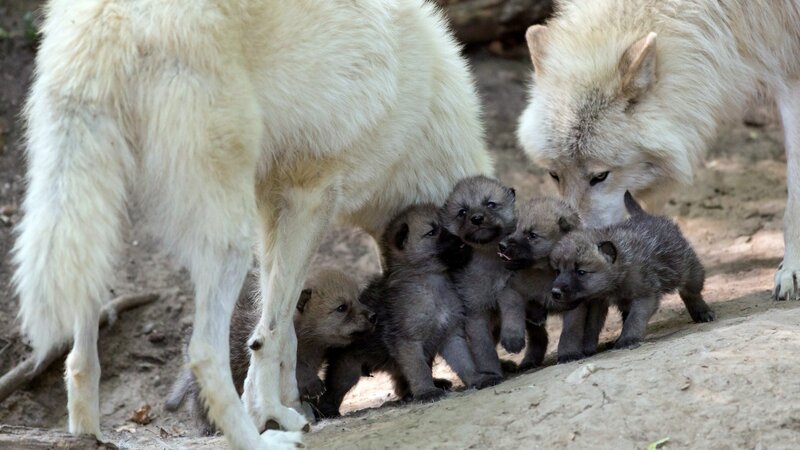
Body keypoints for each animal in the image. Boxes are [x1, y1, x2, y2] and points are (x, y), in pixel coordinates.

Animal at [165, 268, 374, 435]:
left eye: (358, 299)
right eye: (342, 307)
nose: (372, 315)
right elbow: (298, 371)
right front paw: (314, 388)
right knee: (200, 404)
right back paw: (210, 428)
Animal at [549, 192, 715, 354]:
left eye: (581, 272)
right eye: (558, 271)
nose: (555, 292)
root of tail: (644, 215)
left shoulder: (645, 296)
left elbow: (634, 320)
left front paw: (627, 339)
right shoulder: (598, 302)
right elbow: (592, 326)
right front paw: (588, 347)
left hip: (690, 270)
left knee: (691, 292)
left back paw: (702, 312)